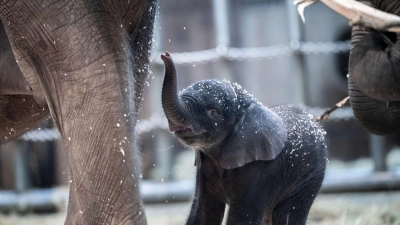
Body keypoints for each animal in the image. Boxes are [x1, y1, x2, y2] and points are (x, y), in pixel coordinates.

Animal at [161, 52, 326, 225]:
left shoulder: (262, 168)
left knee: (286, 214)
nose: (165, 55)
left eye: (214, 112)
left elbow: (242, 218)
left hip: (311, 175)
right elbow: (202, 214)